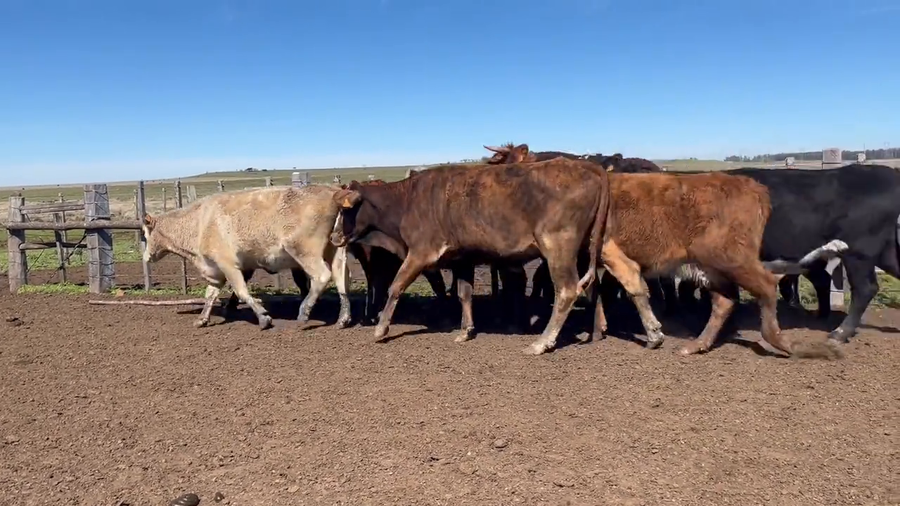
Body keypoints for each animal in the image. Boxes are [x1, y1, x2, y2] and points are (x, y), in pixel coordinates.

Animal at [141, 184, 352, 330]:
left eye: (144, 234)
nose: (145, 257)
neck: (200, 222)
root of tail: (332, 192)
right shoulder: (214, 270)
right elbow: (210, 294)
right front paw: (201, 319)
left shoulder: (228, 264)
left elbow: (241, 291)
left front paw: (263, 318)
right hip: (335, 249)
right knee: (341, 278)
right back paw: (343, 318)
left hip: (304, 251)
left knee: (322, 276)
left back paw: (303, 312)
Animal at [329, 157, 612, 355]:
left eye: (347, 211)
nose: (333, 237)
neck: (408, 200)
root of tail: (587, 167)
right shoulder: (461, 259)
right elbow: (464, 294)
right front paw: (465, 331)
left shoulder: (420, 253)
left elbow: (395, 287)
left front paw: (380, 329)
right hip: (584, 251)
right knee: (593, 286)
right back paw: (596, 331)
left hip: (557, 249)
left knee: (567, 290)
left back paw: (542, 342)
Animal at [486, 145, 842, 358]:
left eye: (498, 165)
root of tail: (752, 187)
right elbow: (598, 290)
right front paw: (600, 328)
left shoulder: (606, 253)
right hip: (710, 266)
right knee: (725, 302)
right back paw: (697, 345)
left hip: (730, 259)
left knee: (766, 287)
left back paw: (781, 341)